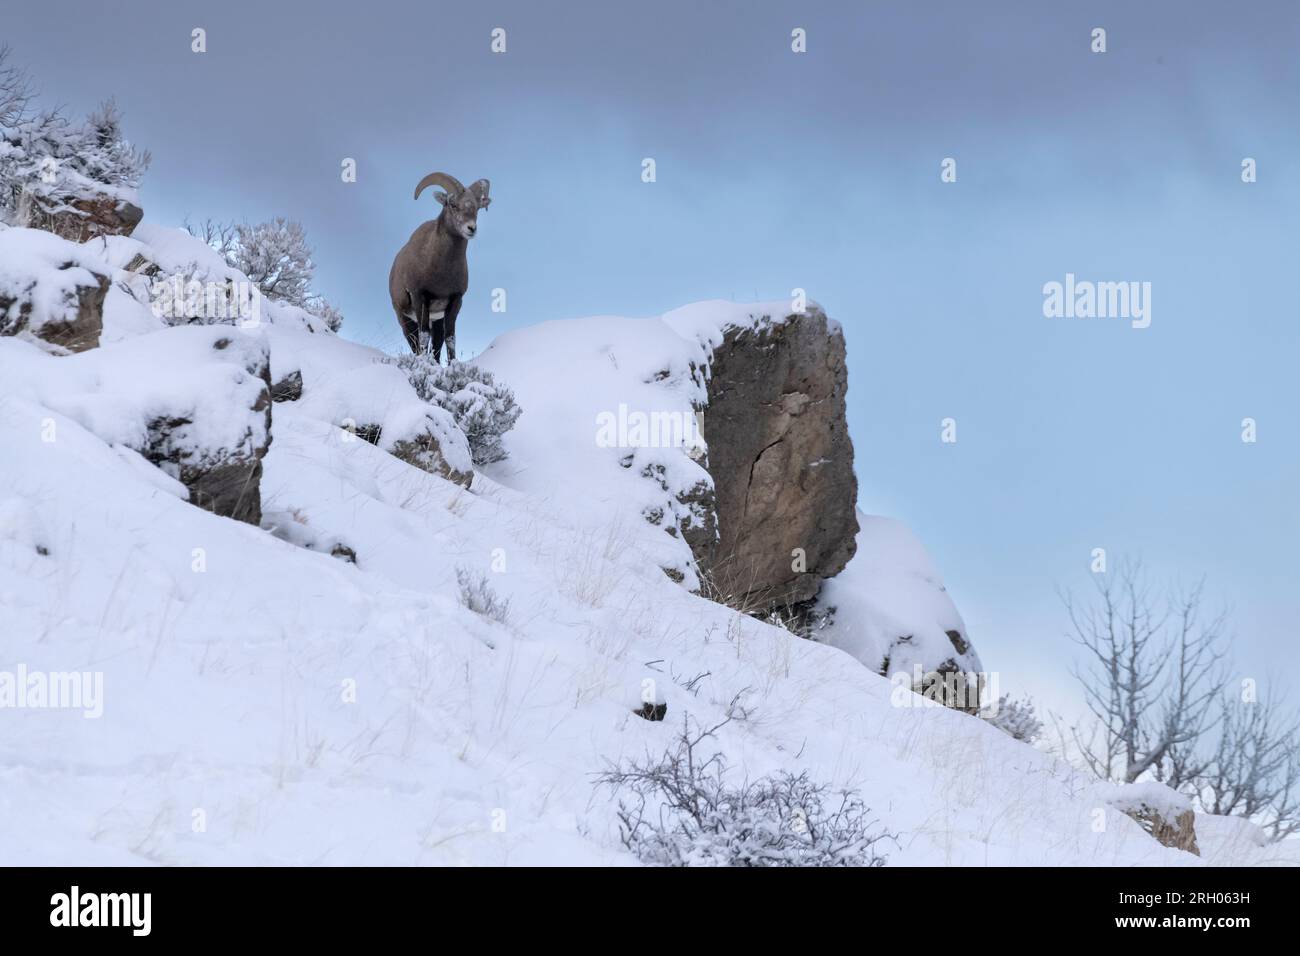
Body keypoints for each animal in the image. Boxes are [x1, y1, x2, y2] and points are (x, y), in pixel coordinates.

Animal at [387, 171, 488, 361]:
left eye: (477, 208)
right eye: (453, 205)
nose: (471, 228)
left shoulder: (455, 301)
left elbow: (450, 338)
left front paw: (453, 364)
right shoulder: (420, 297)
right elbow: (423, 337)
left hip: (436, 320)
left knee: (437, 343)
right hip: (404, 318)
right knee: (413, 341)